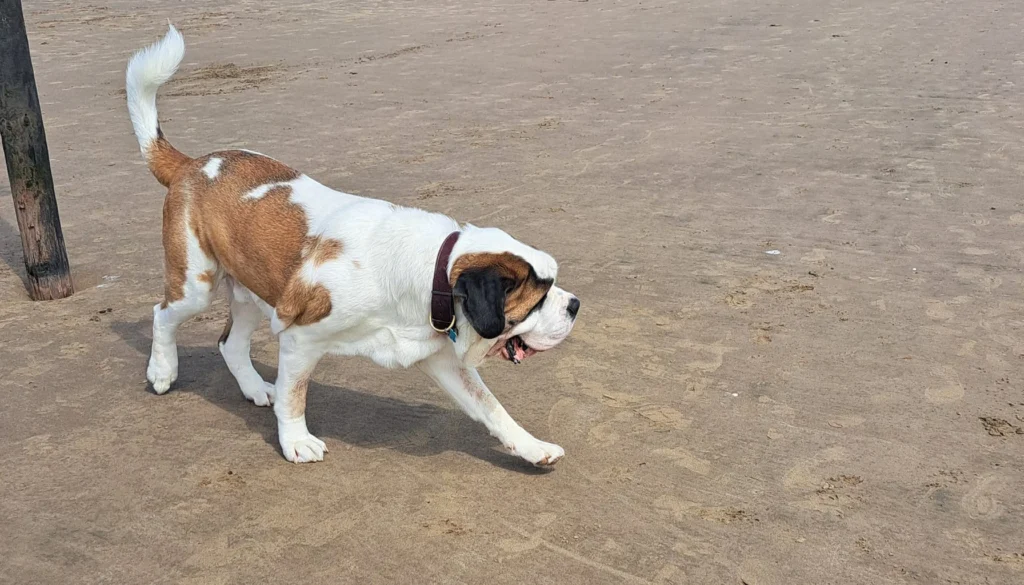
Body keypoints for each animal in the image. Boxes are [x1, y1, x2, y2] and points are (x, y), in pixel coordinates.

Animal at [123, 26, 581, 467]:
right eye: (538, 300)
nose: (575, 305)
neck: (432, 272)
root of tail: (191, 164)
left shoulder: (440, 358)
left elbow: (492, 408)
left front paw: (532, 447)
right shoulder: (300, 338)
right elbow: (294, 396)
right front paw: (296, 442)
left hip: (253, 290)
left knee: (230, 343)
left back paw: (253, 387)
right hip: (196, 286)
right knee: (163, 315)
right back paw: (162, 370)